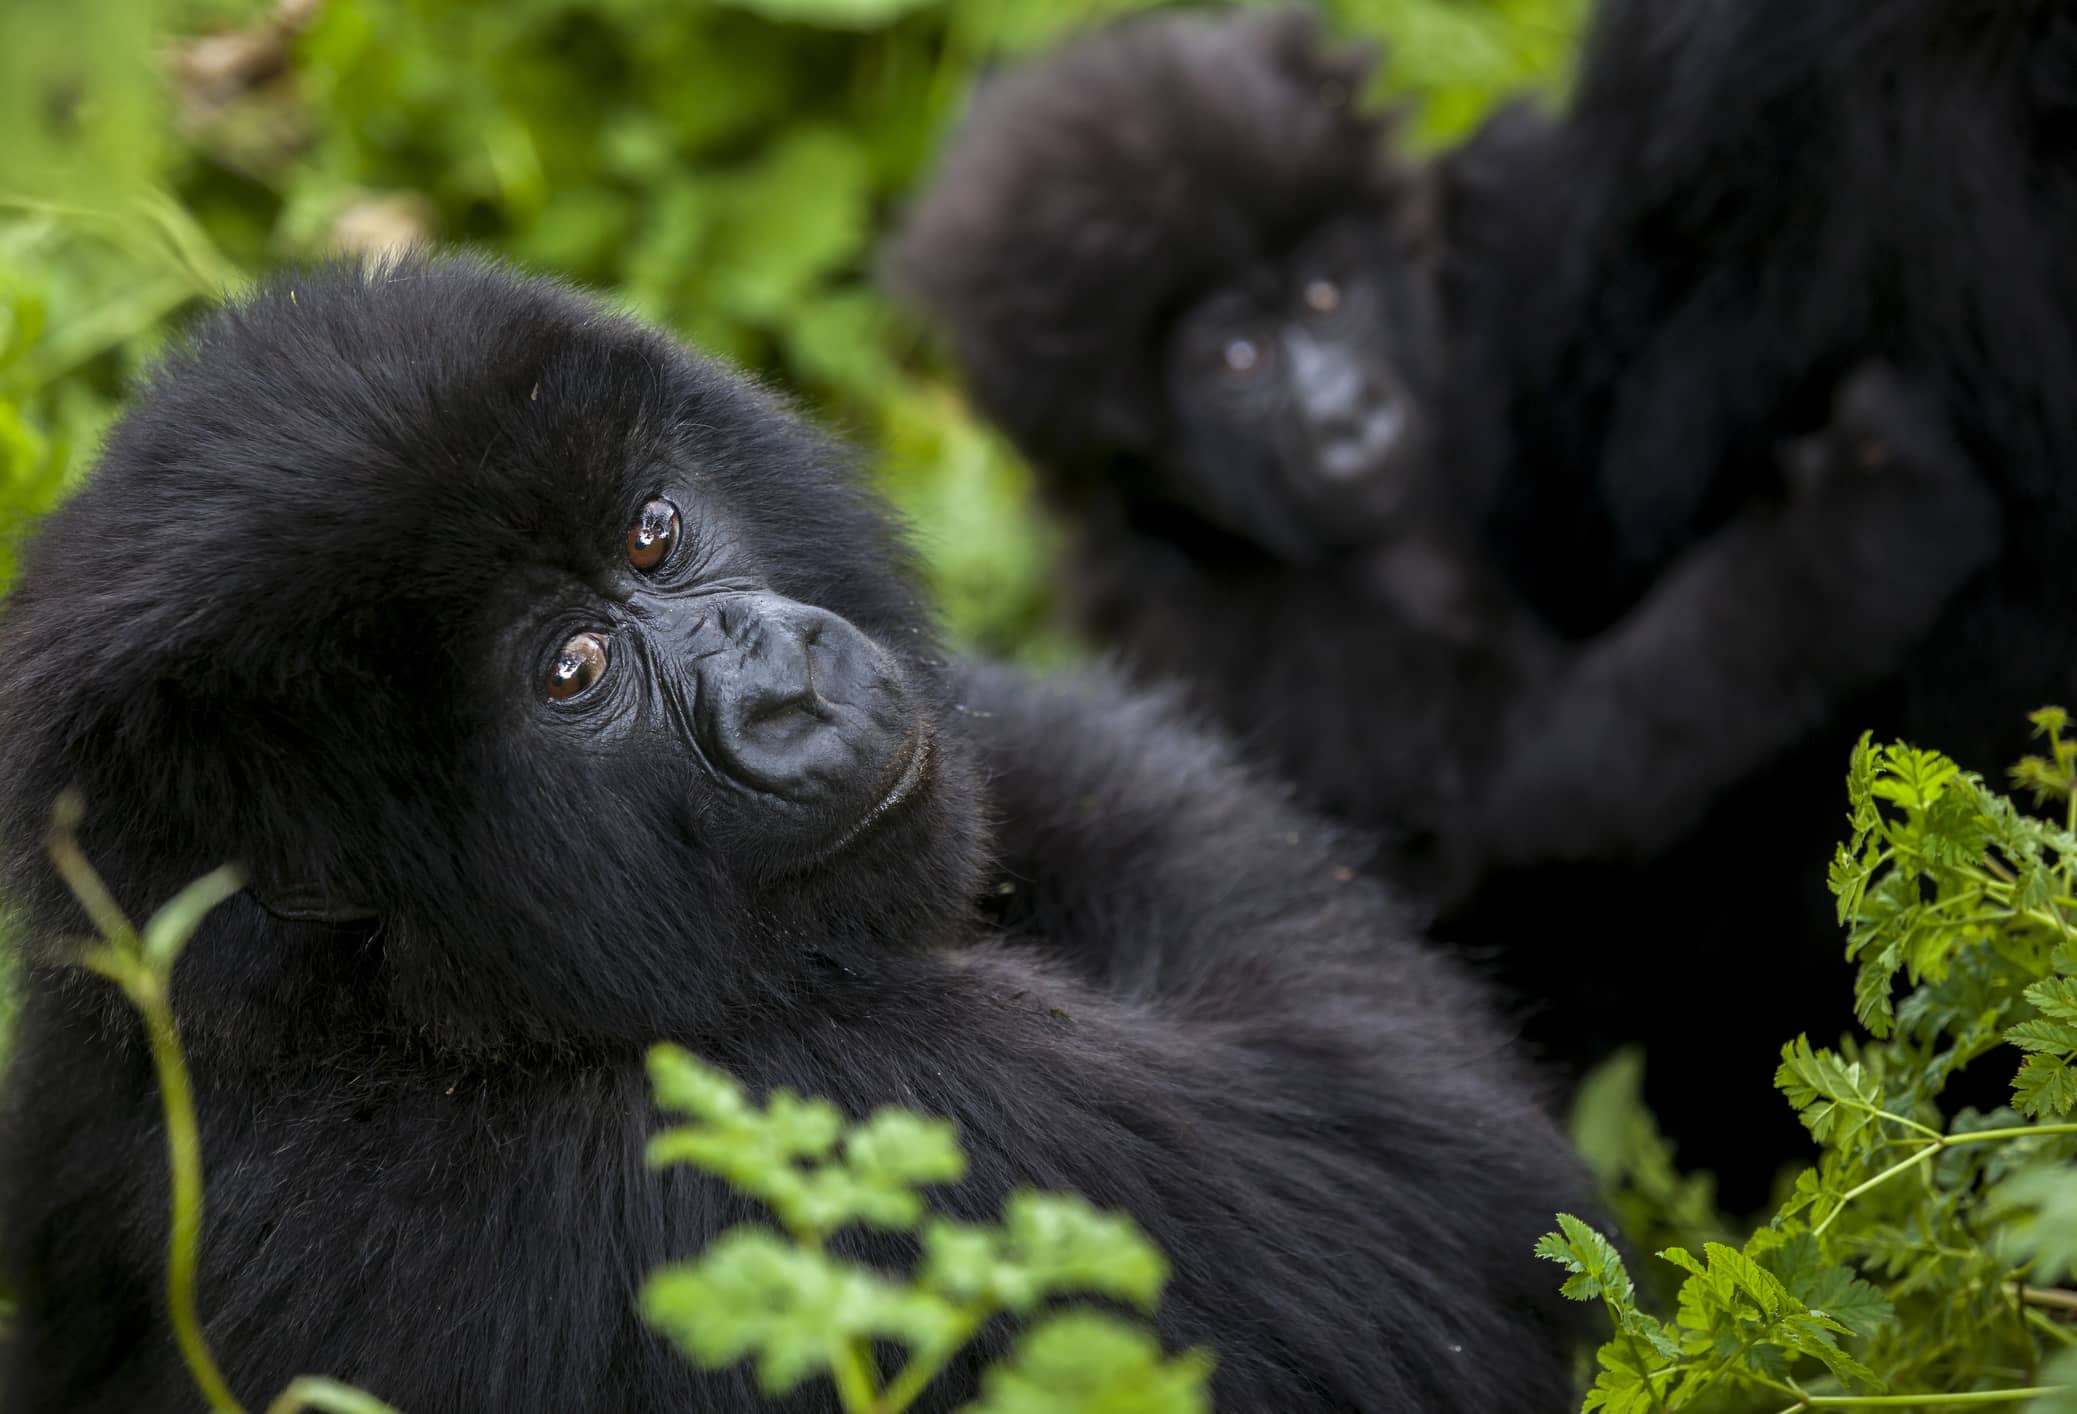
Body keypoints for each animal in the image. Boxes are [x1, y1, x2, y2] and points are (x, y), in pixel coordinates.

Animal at [0, 256, 1595, 1411]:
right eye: (570, 669)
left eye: (652, 535)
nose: (784, 680)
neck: (357, 1020)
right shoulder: (868, 1114)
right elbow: (1428, 1201)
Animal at [884, 2, 2002, 1204]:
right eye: (1236, 356)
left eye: (1326, 293)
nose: (1346, 413)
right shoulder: (1241, 630)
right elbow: (1535, 770)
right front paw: (1863, 525)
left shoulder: (1484, 256)